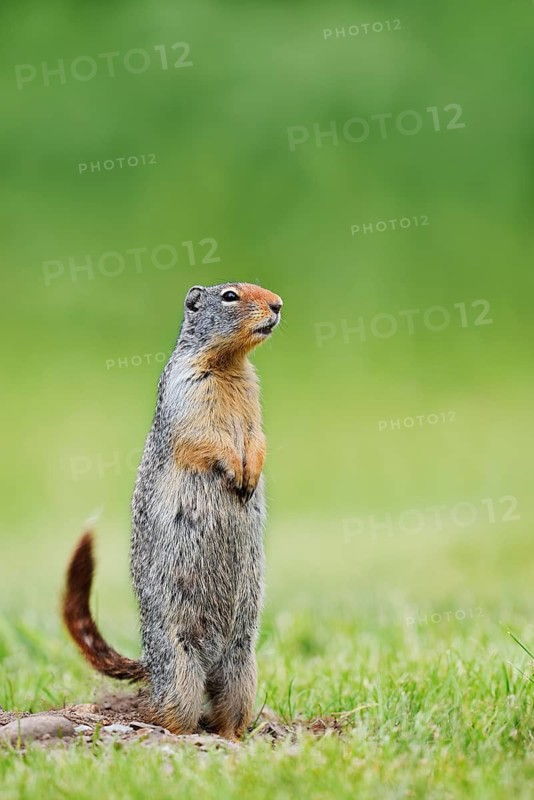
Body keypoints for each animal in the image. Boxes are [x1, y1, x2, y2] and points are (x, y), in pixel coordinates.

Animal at [63, 282, 282, 739]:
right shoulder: (188, 391)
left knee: (226, 712)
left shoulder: (254, 398)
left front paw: (250, 473)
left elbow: (258, 437)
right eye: (230, 295)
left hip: (243, 666)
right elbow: (201, 436)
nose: (278, 305)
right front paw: (236, 471)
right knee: (171, 710)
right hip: (178, 661)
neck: (230, 365)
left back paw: (233, 736)